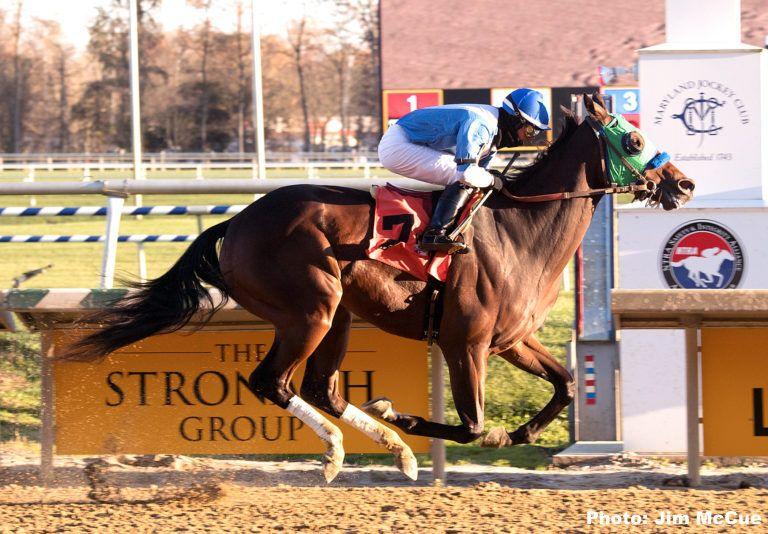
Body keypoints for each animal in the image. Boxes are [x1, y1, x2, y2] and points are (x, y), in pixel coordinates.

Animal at [66, 94, 692, 484]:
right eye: (635, 138)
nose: (682, 184)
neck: (520, 231)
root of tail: (238, 221)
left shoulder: (511, 340)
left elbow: (563, 384)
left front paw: (517, 432)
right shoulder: (465, 343)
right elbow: (471, 424)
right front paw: (410, 416)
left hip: (339, 315)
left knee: (321, 388)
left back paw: (393, 452)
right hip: (310, 311)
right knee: (274, 381)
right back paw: (345, 449)